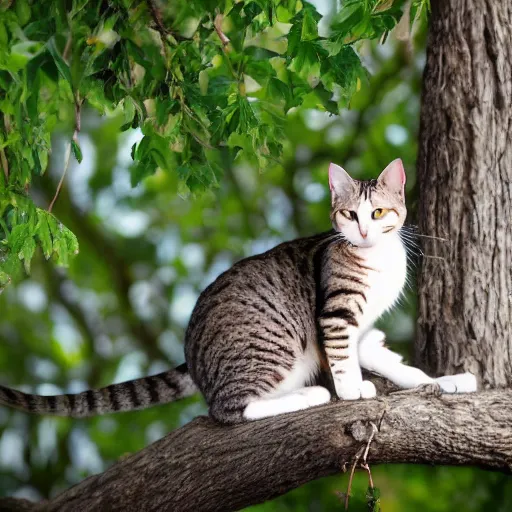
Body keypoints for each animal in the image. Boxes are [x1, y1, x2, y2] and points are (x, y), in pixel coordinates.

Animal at [0, 160, 476, 424]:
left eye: (376, 213)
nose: (361, 231)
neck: (377, 260)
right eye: (347, 215)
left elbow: (397, 366)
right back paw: (309, 395)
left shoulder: (363, 331)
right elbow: (343, 361)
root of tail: (192, 353)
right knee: (229, 409)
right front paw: (351, 390)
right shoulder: (336, 315)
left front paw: (443, 380)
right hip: (274, 343)